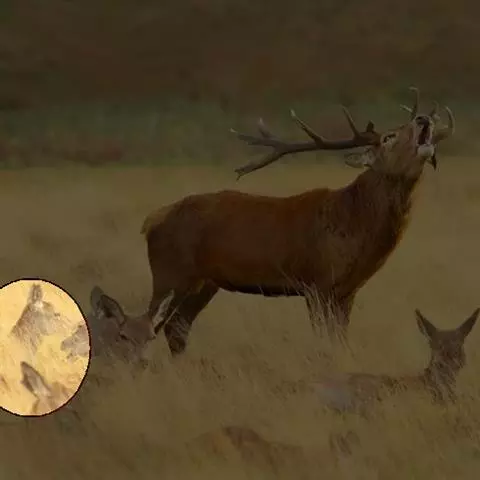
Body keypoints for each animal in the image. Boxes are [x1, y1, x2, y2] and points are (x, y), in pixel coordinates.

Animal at [122, 87, 453, 357]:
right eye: (388, 137)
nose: (423, 118)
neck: (354, 225)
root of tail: (151, 220)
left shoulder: (347, 291)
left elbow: (341, 341)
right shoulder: (317, 283)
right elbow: (324, 341)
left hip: (204, 283)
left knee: (176, 328)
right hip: (169, 272)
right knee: (152, 324)